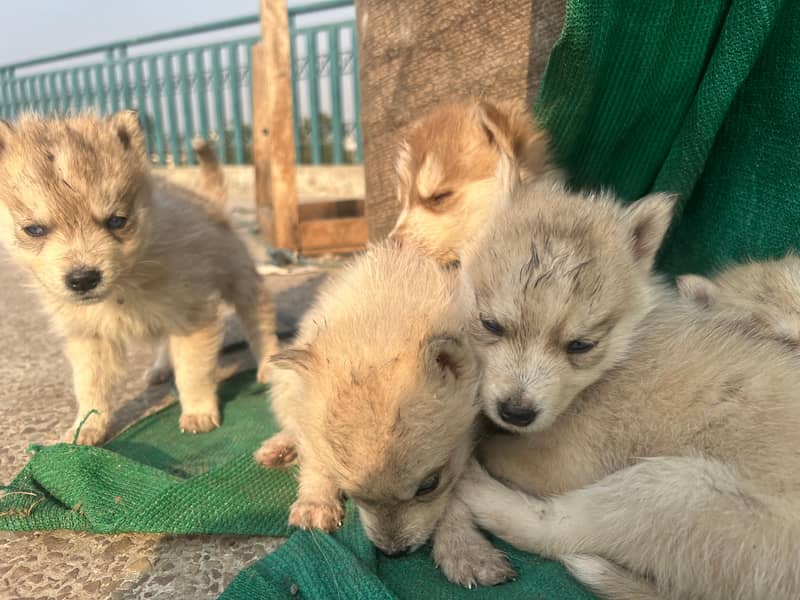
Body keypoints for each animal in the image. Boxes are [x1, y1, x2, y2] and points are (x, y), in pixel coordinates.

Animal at [0, 112, 278, 442]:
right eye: (34, 230)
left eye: (117, 221)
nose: (83, 279)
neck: (127, 282)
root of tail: (208, 200)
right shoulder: (89, 336)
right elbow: (89, 385)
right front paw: (87, 426)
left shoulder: (192, 317)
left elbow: (193, 371)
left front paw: (198, 411)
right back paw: (161, 369)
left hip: (239, 277)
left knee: (258, 316)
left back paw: (269, 361)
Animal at [456, 159, 800, 600]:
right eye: (490, 325)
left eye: (581, 345)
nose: (516, 413)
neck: (621, 350)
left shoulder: (562, 461)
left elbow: (503, 450)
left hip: (675, 488)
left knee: (556, 532)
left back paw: (472, 480)